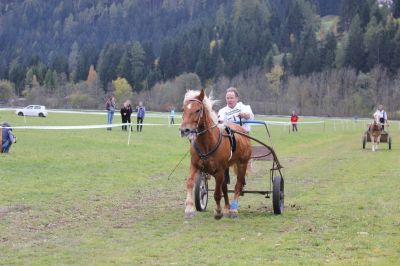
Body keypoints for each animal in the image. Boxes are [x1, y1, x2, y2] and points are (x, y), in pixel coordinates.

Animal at [180, 88, 252, 219]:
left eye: (198, 110)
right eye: (184, 109)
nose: (184, 130)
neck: (207, 144)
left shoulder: (219, 171)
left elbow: (218, 193)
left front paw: (218, 211)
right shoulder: (195, 165)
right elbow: (190, 182)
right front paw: (189, 208)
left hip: (242, 164)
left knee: (238, 185)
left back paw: (233, 208)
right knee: (225, 187)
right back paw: (227, 208)